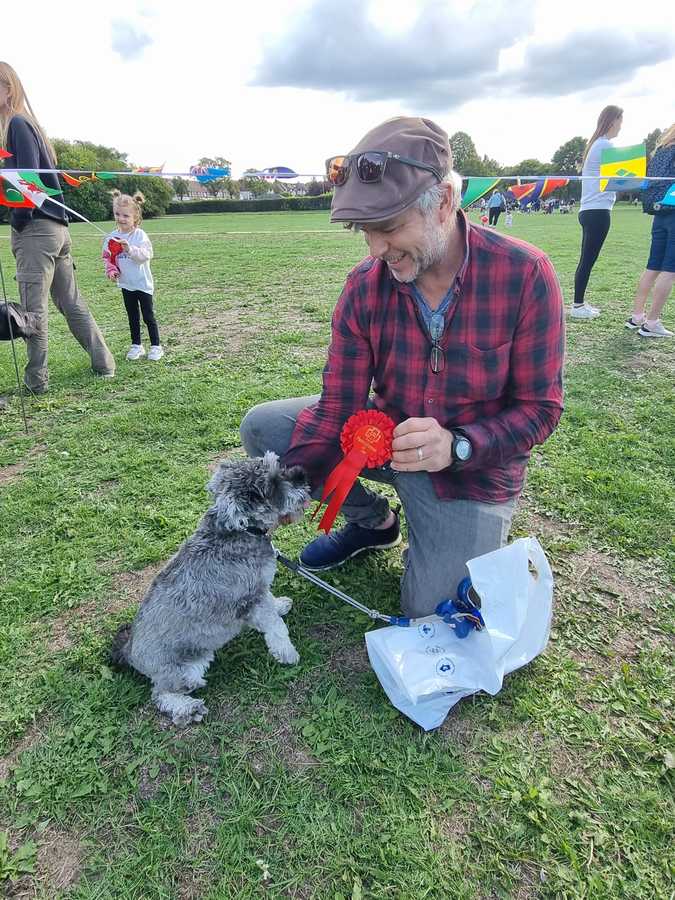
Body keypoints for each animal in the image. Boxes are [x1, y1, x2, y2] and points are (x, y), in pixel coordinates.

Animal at [111, 454, 312, 728]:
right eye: (271, 484)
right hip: (187, 670)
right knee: (161, 695)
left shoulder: (260, 588)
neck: (241, 531)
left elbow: (272, 604)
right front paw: (287, 653)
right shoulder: (251, 600)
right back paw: (188, 709)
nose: (302, 474)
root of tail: (130, 652)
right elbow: (277, 628)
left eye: (277, 465)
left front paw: (281, 605)